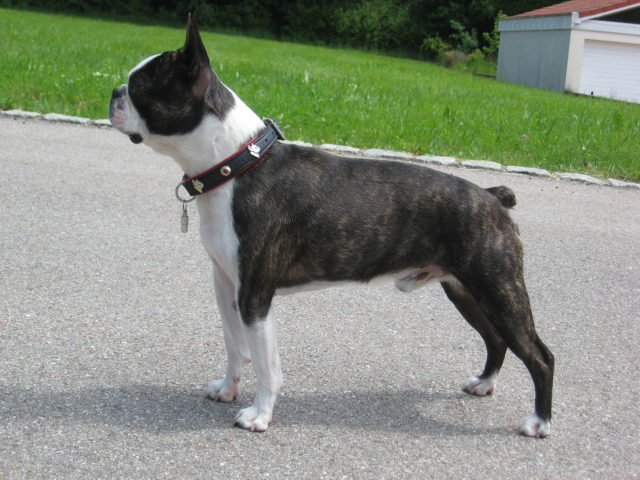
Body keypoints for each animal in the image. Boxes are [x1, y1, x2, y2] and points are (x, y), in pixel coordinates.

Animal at [107, 15, 552, 436]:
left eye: (141, 85)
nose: (114, 92)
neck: (236, 164)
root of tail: (491, 195)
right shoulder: (226, 284)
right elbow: (235, 346)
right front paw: (228, 389)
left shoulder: (254, 295)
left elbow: (266, 365)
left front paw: (258, 415)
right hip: (465, 289)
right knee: (496, 339)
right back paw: (484, 383)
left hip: (497, 288)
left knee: (539, 355)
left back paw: (539, 422)